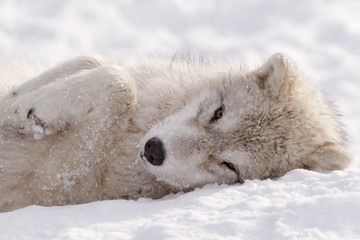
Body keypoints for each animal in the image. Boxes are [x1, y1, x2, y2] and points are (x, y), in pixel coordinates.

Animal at [0, 53, 352, 212]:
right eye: (218, 113)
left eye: (229, 166)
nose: (154, 150)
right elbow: (97, 62)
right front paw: (19, 100)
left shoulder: (54, 183)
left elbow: (119, 85)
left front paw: (35, 112)